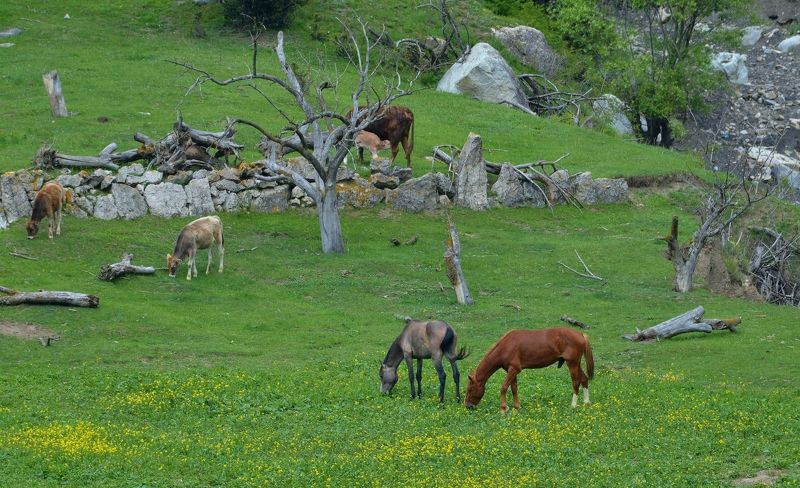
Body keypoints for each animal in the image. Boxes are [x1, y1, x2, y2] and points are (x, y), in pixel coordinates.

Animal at [464, 327, 594, 412]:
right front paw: (516, 406)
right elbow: (514, 388)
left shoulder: (514, 369)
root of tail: (581, 334)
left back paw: (573, 405)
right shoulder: (511, 370)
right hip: (576, 364)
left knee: (576, 382)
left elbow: (504, 387)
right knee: (584, 379)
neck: (506, 346)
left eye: (470, 389)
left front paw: (503, 409)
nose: (468, 406)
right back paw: (586, 402)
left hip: (572, 363)